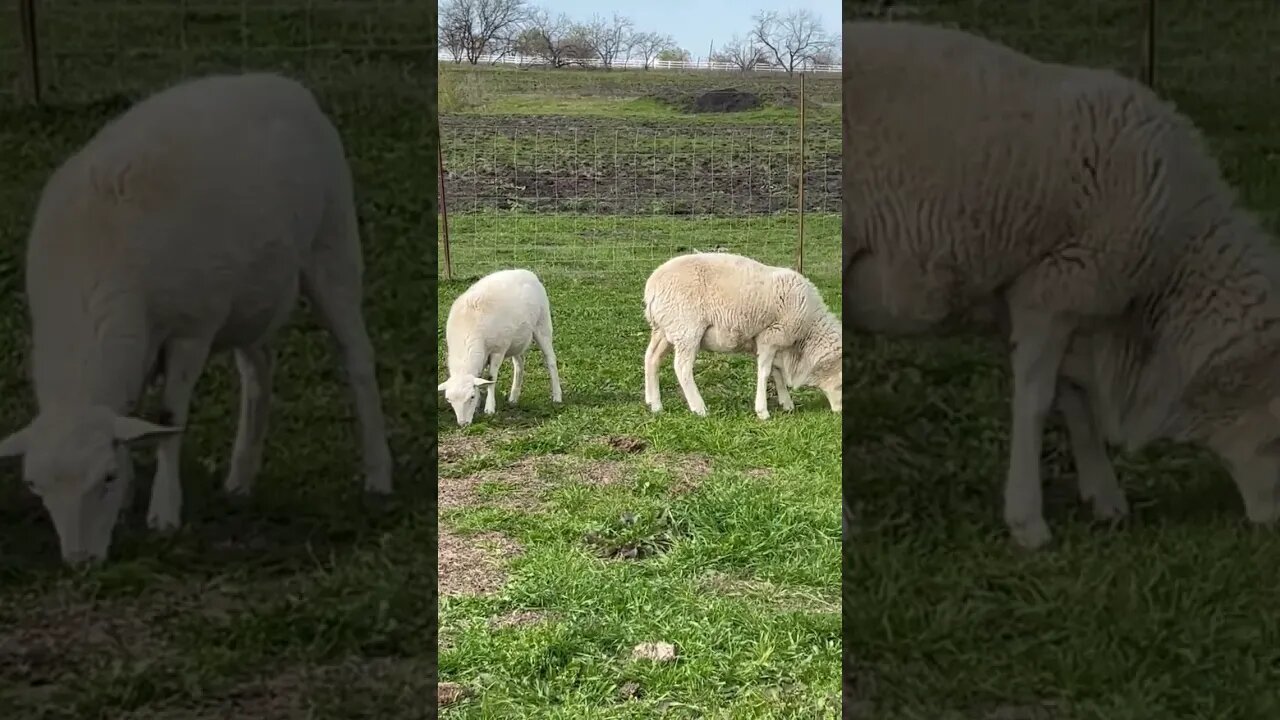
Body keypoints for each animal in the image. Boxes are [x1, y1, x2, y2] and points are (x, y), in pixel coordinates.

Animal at [0, 74, 391, 566]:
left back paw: (378, 476)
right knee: (258, 373)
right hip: (251, 293)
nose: (80, 562)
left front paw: (162, 512)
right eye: (35, 486)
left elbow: (170, 417)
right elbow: (132, 417)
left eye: (104, 477)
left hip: (332, 247)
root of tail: (283, 83)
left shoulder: (191, 330)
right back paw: (240, 479)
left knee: (357, 357)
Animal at [437, 269, 563, 425]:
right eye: (449, 400)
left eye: (471, 397)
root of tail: (527, 272)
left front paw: (489, 408)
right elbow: (480, 377)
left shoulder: (498, 350)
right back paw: (513, 398)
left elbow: (491, 377)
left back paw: (557, 396)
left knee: (550, 360)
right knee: (519, 364)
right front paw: (478, 404)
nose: (463, 424)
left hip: (542, 324)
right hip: (516, 339)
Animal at [640, 249, 839, 417]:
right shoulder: (770, 336)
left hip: (665, 329)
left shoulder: (773, 342)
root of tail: (652, 287)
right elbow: (765, 372)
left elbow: (776, 372)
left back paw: (654, 403)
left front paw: (786, 403)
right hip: (686, 329)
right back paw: (699, 408)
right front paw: (763, 411)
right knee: (682, 367)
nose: (839, 413)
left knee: (651, 357)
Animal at [844, 19, 1280, 545]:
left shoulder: (1063, 300)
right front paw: (1028, 521)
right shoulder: (1052, 285)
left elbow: (1075, 397)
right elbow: (1037, 401)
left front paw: (1105, 498)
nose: (1276, 526)